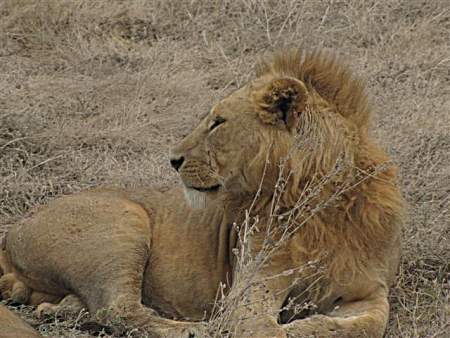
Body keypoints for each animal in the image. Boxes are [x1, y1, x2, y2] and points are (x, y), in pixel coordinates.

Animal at [0, 48, 402, 338]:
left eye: (218, 122)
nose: (173, 159)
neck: (320, 208)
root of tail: (12, 232)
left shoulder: (370, 290)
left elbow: (368, 324)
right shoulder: (248, 290)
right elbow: (261, 328)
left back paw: (60, 310)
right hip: (122, 226)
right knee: (119, 309)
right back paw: (201, 330)